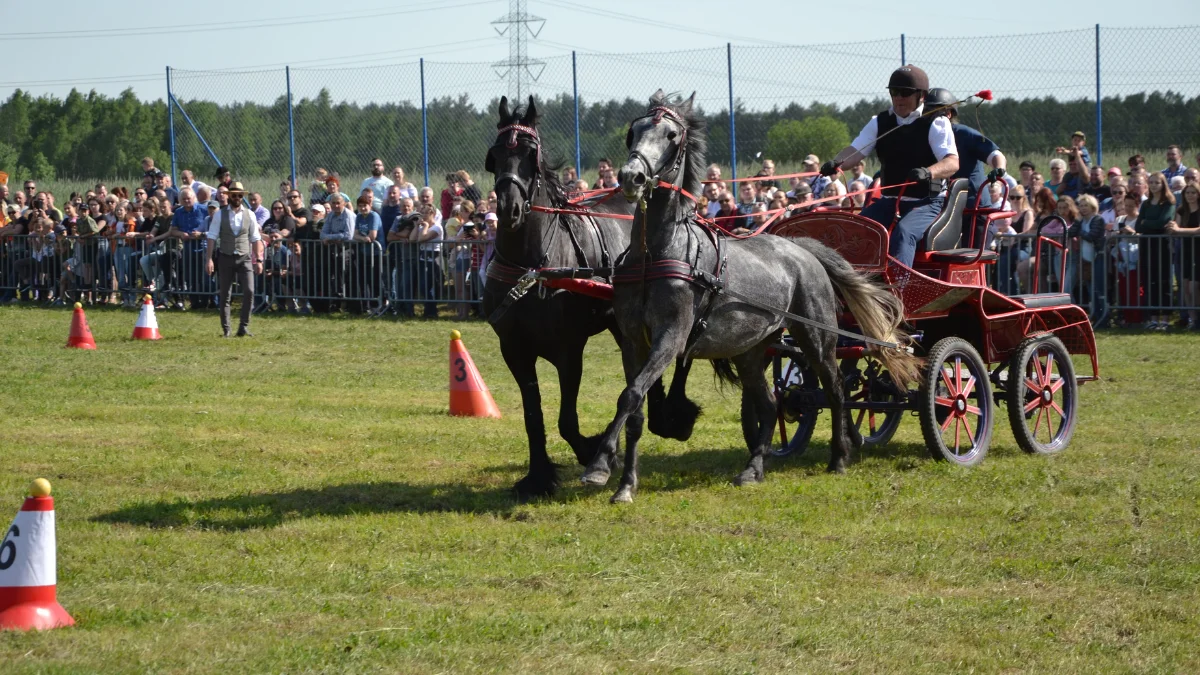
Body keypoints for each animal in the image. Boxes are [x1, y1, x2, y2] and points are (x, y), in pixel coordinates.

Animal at [580, 90, 916, 499]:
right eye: (635, 131)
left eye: (672, 135)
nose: (632, 176)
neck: (656, 253)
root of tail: (804, 249)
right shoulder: (633, 341)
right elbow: (633, 404)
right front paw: (623, 481)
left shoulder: (670, 338)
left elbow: (632, 396)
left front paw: (599, 466)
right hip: (751, 350)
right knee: (770, 404)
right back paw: (753, 469)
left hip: (816, 337)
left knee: (836, 389)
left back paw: (839, 457)